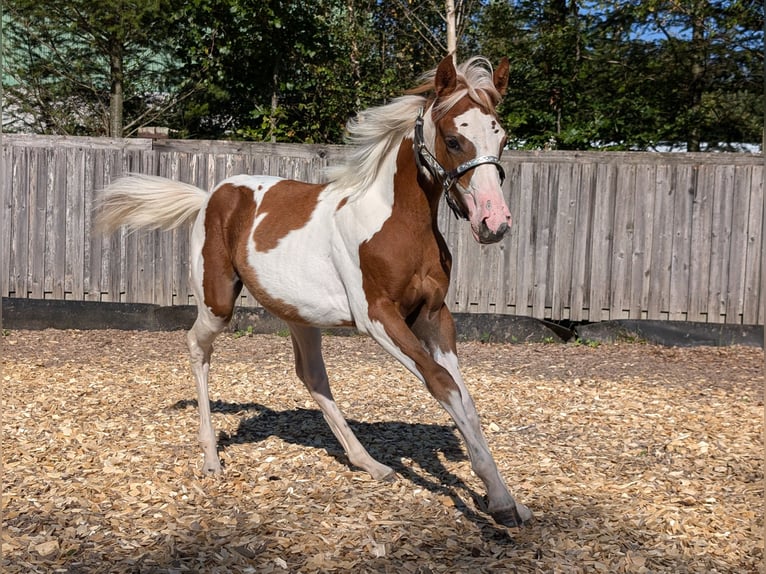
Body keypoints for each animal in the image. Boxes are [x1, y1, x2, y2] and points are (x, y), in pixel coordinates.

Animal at [97, 56, 536, 528]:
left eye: (501, 138)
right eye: (454, 140)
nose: (494, 223)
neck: (397, 223)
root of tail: (207, 196)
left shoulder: (435, 316)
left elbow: (464, 396)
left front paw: (507, 501)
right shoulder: (379, 318)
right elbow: (442, 384)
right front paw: (500, 504)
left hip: (300, 316)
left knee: (312, 377)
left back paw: (371, 464)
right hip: (217, 304)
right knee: (198, 347)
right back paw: (212, 458)